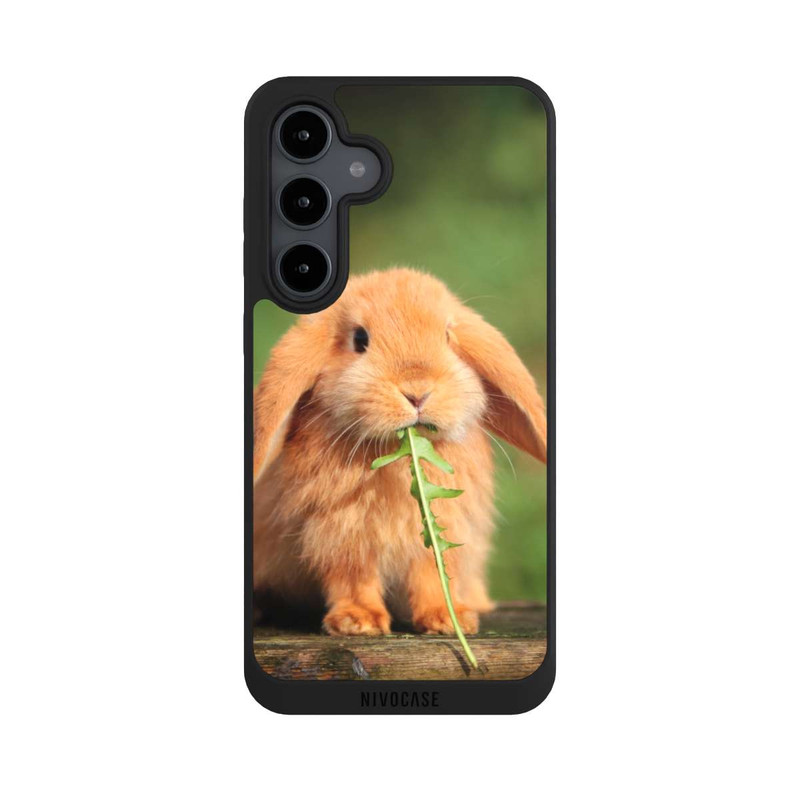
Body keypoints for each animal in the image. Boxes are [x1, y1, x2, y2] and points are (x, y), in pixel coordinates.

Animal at [253, 268, 547, 636]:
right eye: (359, 339)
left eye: (448, 336)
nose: (417, 391)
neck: (398, 458)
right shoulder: (342, 538)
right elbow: (354, 579)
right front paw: (358, 622)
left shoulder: (436, 535)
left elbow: (433, 574)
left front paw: (448, 619)